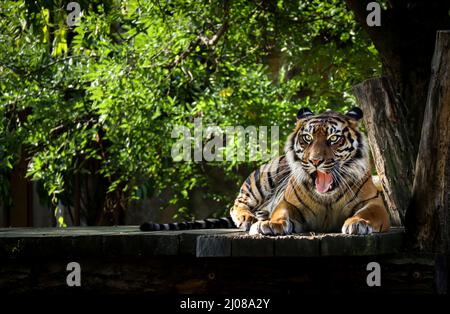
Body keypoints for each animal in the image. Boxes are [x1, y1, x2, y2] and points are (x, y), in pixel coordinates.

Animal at [232, 106, 390, 234]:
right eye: (307, 137)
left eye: (334, 138)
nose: (315, 161)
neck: (327, 198)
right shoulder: (287, 202)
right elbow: (280, 213)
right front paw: (270, 224)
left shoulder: (374, 203)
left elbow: (368, 213)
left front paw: (358, 222)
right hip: (260, 182)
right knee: (238, 204)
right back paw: (248, 218)